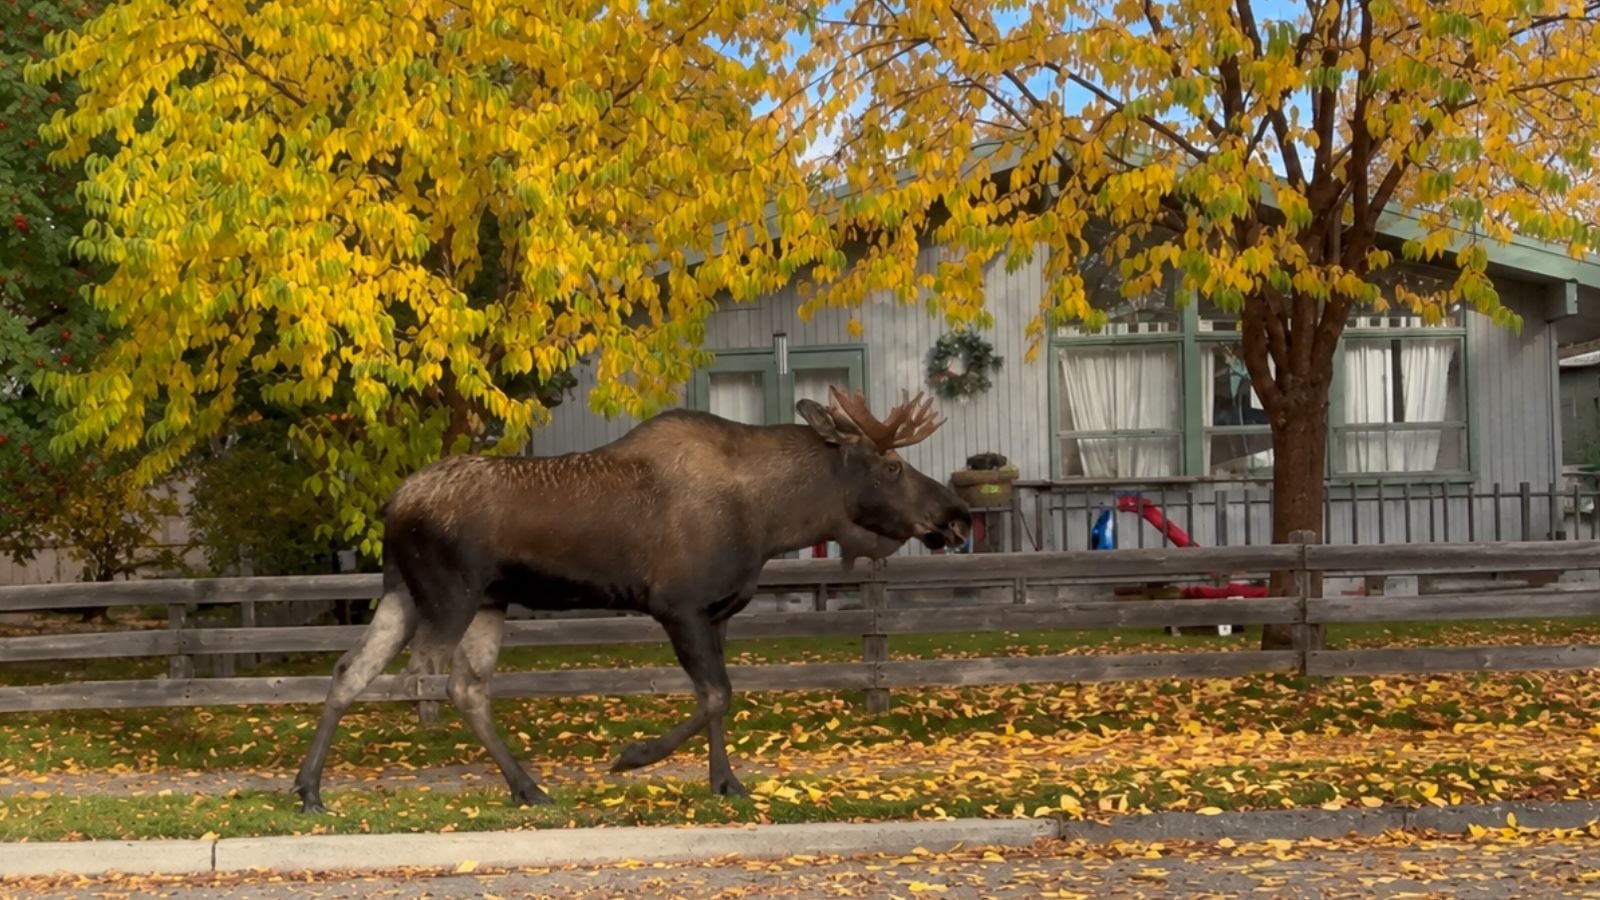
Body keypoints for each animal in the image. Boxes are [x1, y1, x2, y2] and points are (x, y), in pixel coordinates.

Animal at [292, 386, 972, 812]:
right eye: (890, 468)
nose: (956, 512)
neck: (774, 519)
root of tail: (391, 504)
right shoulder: (678, 605)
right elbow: (716, 694)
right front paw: (634, 757)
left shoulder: (719, 611)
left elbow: (721, 698)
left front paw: (725, 781)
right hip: (449, 596)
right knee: (422, 678)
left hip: (437, 596)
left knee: (372, 671)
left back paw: (316, 789)